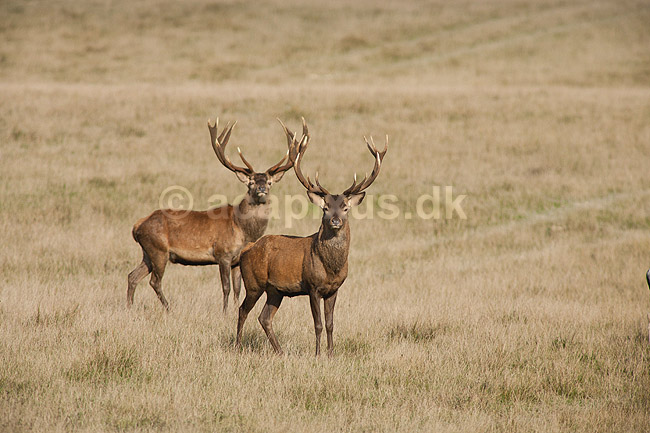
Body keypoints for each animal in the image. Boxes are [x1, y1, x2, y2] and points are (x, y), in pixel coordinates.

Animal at [127, 118, 303, 312]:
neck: (243, 230)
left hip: (147, 252)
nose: (262, 188)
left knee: (132, 276)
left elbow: (237, 288)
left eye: (269, 182)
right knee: (155, 281)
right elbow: (226, 287)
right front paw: (224, 312)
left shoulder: (236, 261)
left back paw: (129, 307)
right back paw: (168, 307)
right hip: (158, 250)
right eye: (251, 182)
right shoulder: (222, 254)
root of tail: (137, 226)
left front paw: (234, 309)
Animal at [235, 119, 387, 356]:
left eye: (345, 207)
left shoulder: (334, 289)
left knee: (264, 317)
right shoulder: (312, 287)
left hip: (275, 290)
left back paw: (280, 352)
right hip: (253, 282)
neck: (331, 267)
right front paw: (317, 354)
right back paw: (237, 346)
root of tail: (246, 249)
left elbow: (331, 323)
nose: (335, 220)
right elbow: (317, 324)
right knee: (242, 310)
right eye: (325, 207)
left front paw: (331, 353)